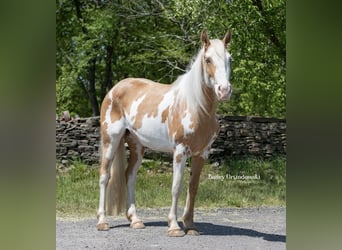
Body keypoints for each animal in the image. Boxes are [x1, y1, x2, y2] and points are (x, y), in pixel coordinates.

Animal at [97, 29, 234, 236]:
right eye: (208, 59)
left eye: (230, 58)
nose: (224, 90)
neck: (197, 107)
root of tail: (114, 90)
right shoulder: (179, 151)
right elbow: (176, 187)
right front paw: (174, 226)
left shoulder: (202, 153)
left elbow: (193, 187)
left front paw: (190, 225)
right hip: (110, 141)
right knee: (105, 176)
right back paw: (102, 222)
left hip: (137, 145)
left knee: (130, 176)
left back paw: (135, 220)